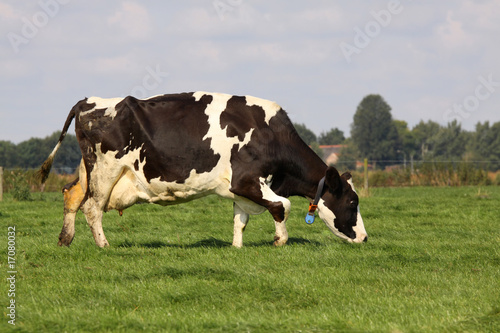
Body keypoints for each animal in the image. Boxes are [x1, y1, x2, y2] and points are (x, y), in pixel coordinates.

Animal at [38, 91, 368, 246]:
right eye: (353, 202)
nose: (365, 237)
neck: (271, 135)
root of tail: (87, 101)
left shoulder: (242, 190)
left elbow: (240, 220)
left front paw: (236, 248)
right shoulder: (247, 181)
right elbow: (282, 205)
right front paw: (279, 240)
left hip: (89, 171)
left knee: (71, 195)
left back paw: (65, 239)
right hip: (105, 170)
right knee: (92, 207)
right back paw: (104, 245)